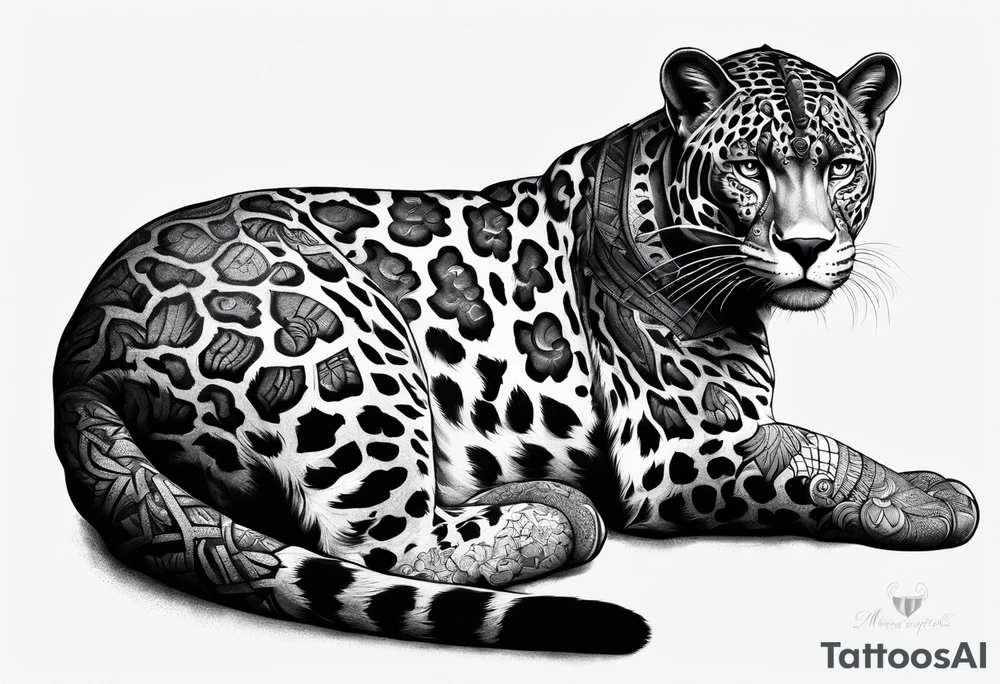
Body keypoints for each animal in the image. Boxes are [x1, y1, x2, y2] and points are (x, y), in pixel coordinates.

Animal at [53, 45, 979, 655]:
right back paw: (557, 514)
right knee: (382, 544)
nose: (808, 247)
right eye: (751, 167)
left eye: (843, 167)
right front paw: (923, 501)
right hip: (343, 349)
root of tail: (79, 345)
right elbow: (814, 451)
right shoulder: (675, 455)